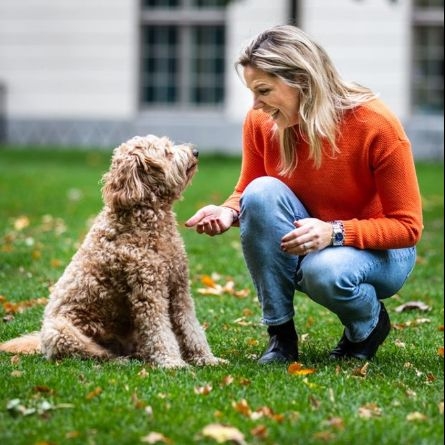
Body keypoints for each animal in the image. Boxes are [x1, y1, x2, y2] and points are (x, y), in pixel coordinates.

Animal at [0, 135, 224, 368]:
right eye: (166, 152)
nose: (196, 151)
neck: (146, 219)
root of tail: (41, 342)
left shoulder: (179, 289)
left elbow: (191, 328)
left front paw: (206, 358)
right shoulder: (148, 293)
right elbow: (159, 332)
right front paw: (172, 362)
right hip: (60, 331)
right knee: (94, 353)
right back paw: (119, 360)